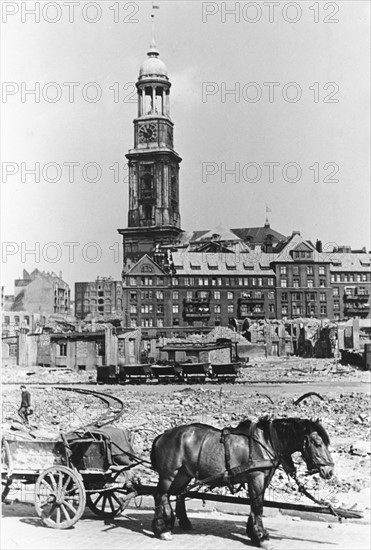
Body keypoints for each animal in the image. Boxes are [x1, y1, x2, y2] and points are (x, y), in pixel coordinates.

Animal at [150, 418, 336, 548]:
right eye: (318, 443)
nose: (329, 471)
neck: (266, 442)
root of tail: (163, 436)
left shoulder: (262, 478)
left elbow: (256, 504)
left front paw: (253, 533)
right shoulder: (256, 476)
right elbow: (258, 505)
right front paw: (261, 537)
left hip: (183, 474)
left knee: (175, 494)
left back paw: (178, 522)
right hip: (169, 474)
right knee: (160, 494)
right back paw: (161, 529)